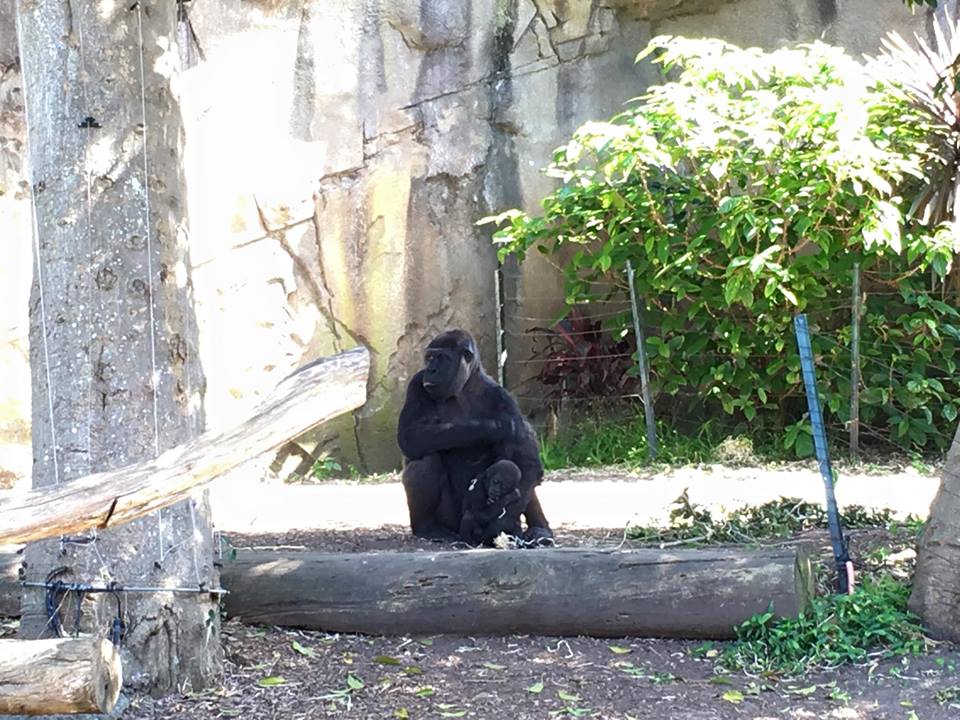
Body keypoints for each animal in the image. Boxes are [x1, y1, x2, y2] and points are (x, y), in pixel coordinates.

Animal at [396, 328, 548, 544]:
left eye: (441, 358)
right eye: (429, 358)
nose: (430, 370)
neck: (464, 388)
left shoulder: (504, 398)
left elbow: (527, 463)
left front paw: (503, 524)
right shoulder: (417, 382)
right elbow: (411, 436)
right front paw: (495, 427)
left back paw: (539, 530)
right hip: (451, 521)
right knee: (426, 459)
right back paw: (428, 528)